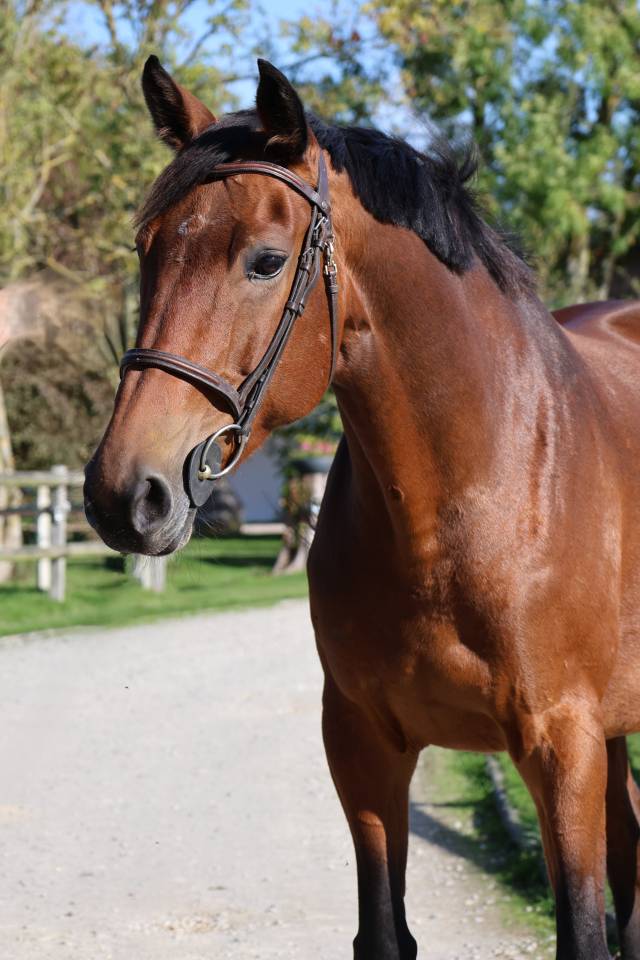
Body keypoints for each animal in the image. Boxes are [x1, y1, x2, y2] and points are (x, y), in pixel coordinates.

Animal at [84, 56, 640, 960]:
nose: (124, 493)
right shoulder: (362, 747)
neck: (461, 507)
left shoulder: (564, 748)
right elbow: (384, 932)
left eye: (266, 261)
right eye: (145, 249)